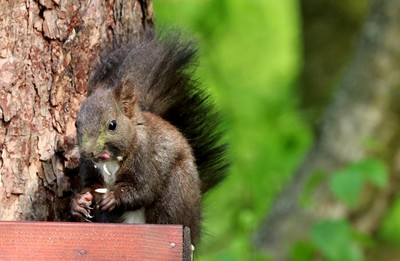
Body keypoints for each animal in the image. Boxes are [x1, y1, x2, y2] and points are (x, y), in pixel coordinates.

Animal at [70, 31, 228, 243]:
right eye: (76, 124)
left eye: (112, 125)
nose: (87, 152)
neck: (110, 162)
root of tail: (195, 227)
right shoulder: (90, 169)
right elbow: (91, 186)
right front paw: (80, 201)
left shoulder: (145, 159)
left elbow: (144, 189)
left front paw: (113, 197)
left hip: (174, 193)